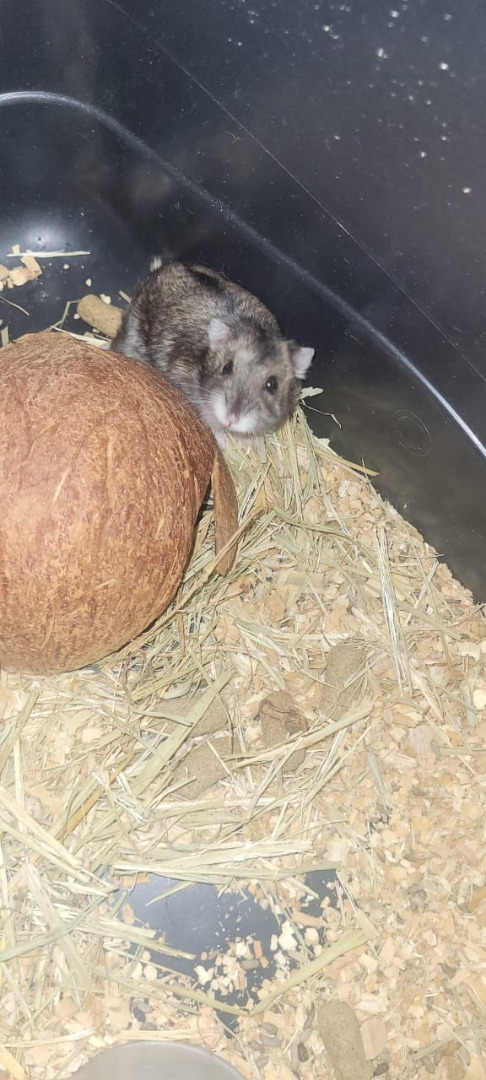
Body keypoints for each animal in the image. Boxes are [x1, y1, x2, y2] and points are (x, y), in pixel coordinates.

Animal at [111, 259, 314, 447]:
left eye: (272, 385)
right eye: (226, 368)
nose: (231, 419)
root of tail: (163, 268)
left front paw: (249, 442)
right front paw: (224, 442)